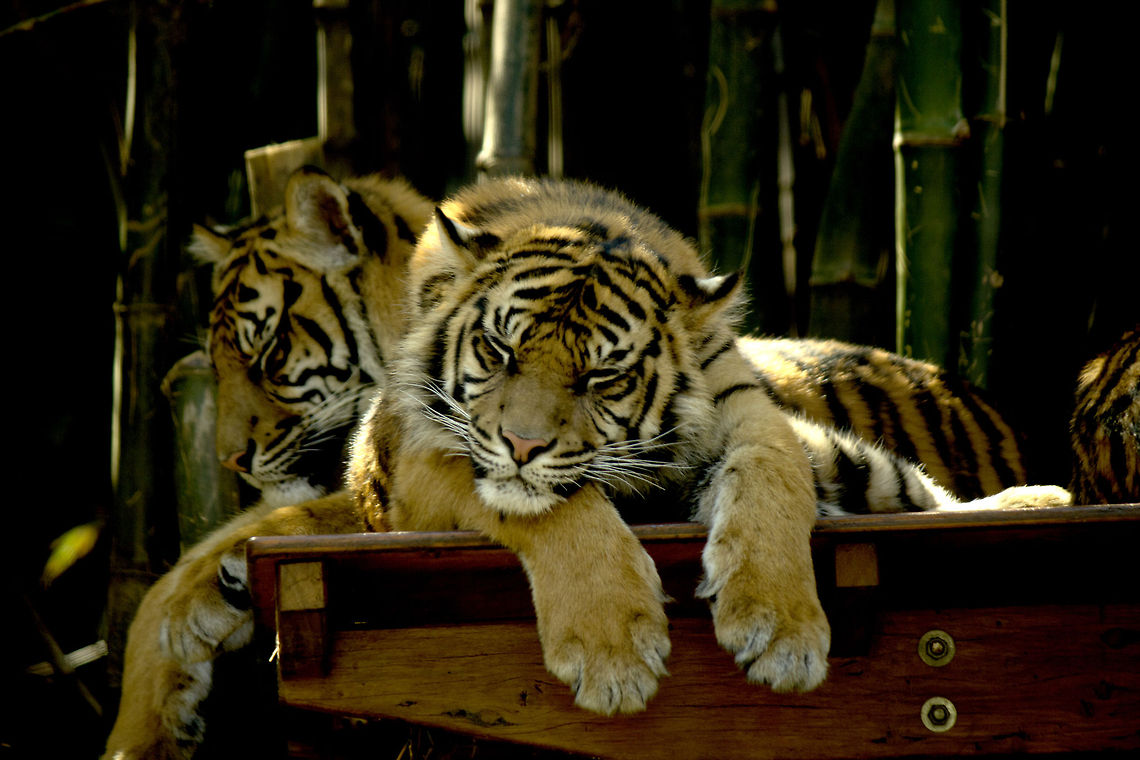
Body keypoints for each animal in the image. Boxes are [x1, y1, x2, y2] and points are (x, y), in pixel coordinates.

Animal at [104, 174, 1066, 759]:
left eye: (267, 353)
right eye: (497, 351)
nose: (230, 454)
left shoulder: (748, 412)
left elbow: (770, 478)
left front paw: (782, 625)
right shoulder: (413, 455)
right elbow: (553, 507)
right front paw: (613, 648)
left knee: (916, 494)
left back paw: (1039, 499)